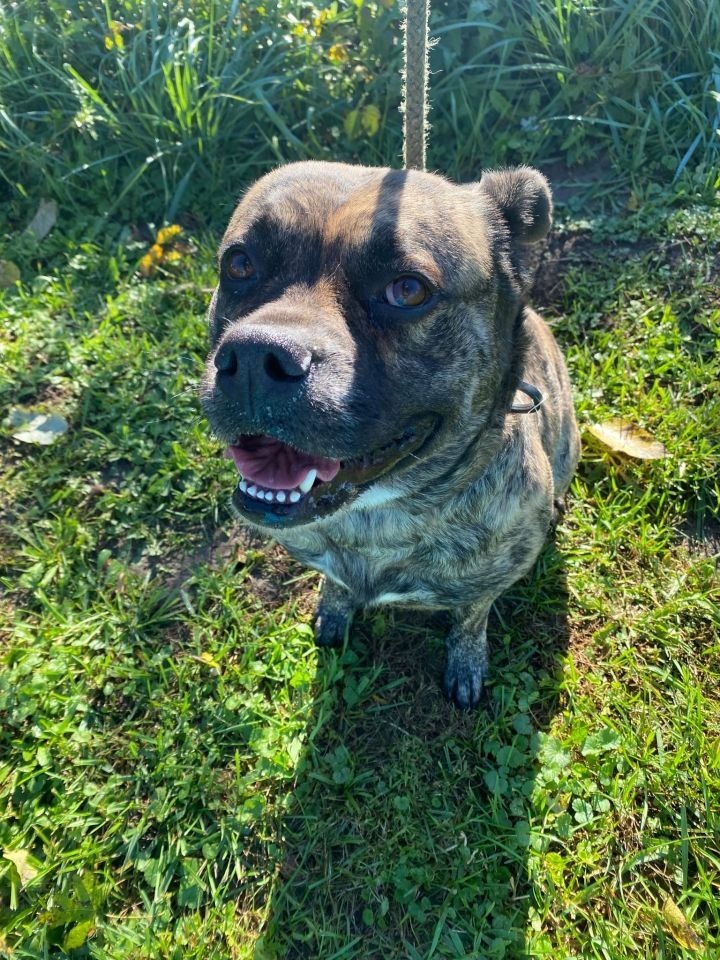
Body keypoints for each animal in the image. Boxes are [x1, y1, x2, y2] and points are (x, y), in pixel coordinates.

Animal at [200, 161, 584, 708]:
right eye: (239, 265)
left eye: (408, 290)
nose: (255, 358)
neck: (377, 515)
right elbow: (337, 585)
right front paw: (334, 609)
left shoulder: (488, 582)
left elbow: (471, 617)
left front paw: (466, 660)